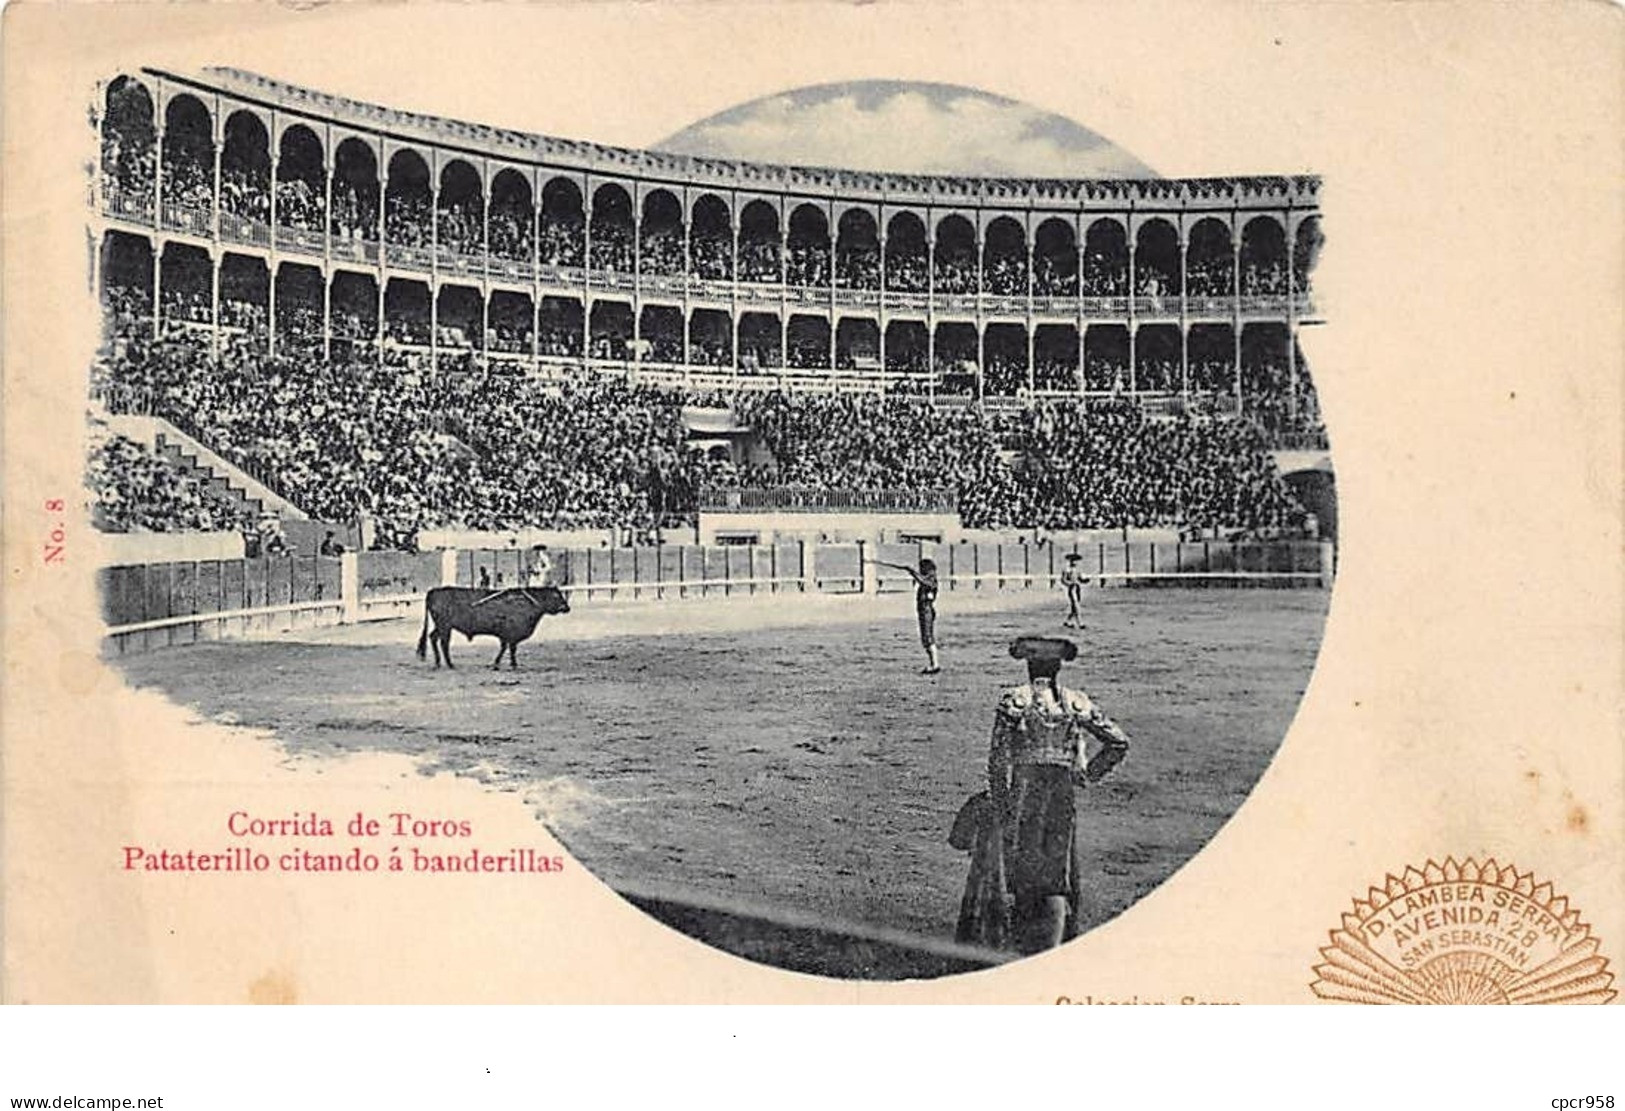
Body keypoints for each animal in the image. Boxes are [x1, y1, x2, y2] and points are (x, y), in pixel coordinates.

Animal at [416, 584, 575, 672]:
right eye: (556, 595)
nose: (567, 608)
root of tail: (433, 591)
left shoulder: (505, 636)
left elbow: (505, 648)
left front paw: (498, 663)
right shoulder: (511, 634)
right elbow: (511, 649)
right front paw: (512, 664)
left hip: (441, 626)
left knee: (433, 638)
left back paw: (438, 663)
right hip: (445, 626)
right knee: (444, 643)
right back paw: (449, 664)